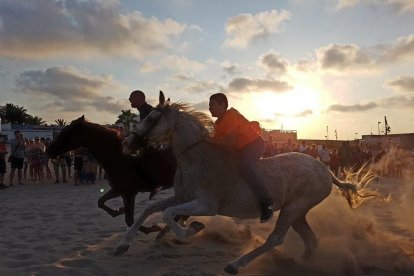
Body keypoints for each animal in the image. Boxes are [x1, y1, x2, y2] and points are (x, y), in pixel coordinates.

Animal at [46, 116, 177, 233]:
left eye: (66, 133)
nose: (48, 151)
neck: (117, 159)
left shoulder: (129, 193)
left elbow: (130, 221)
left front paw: (154, 229)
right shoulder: (118, 190)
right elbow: (101, 202)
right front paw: (118, 211)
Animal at [115, 92, 384, 274]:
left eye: (152, 117)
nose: (126, 144)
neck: (196, 157)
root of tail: (326, 171)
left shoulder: (205, 205)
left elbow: (169, 214)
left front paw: (191, 229)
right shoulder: (183, 197)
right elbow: (152, 209)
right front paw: (123, 245)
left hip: (293, 208)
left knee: (276, 238)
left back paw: (236, 265)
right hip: (298, 212)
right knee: (310, 240)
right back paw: (297, 264)